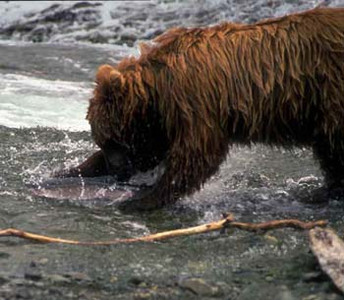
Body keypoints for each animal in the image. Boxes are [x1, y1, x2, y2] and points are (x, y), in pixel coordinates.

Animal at [58, 6, 344, 209]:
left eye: (113, 140)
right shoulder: (163, 122)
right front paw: (71, 170)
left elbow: (196, 154)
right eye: (102, 140)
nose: (117, 168)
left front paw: (142, 199)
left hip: (330, 93)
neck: (157, 91)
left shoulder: (194, 101)